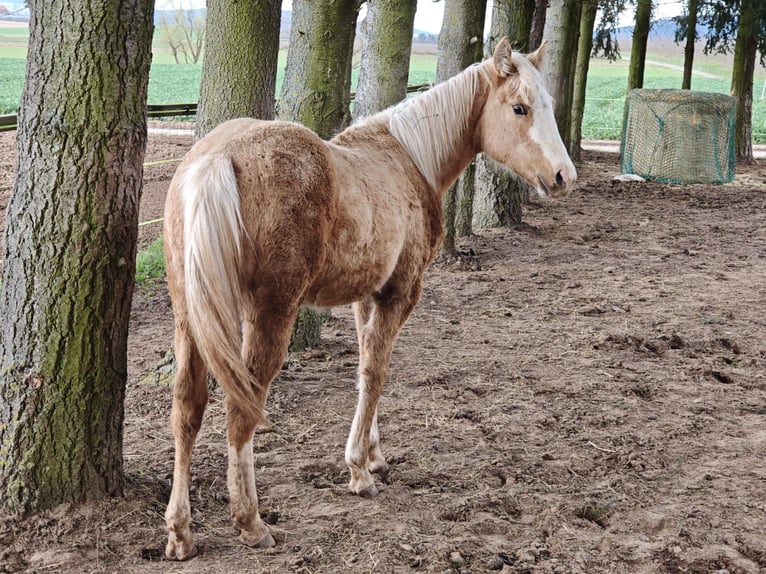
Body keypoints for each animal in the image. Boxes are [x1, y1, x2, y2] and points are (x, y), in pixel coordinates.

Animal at [162, 37, 576, 559]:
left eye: (548, 104)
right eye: (519, 107)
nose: (563, 176)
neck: (409, 159)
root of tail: (217, 159)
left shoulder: (366, 297)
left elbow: (363, 370)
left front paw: (374, 454)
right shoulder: (400, 293)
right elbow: (377, 373)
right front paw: (359, 470)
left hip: (188, 318)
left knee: (187, 409)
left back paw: (180, 531)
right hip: (269, 315)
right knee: (242, 409)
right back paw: (251, 522)